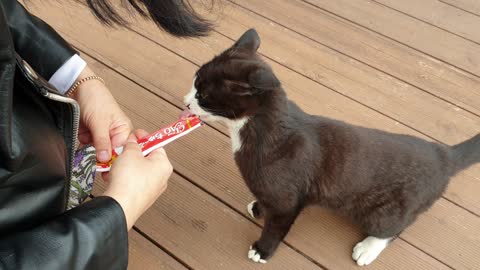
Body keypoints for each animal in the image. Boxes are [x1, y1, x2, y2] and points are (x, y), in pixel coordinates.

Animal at [182, 28, 478, 266]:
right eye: (194, 81)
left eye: (203, 95)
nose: (186, 102)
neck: (253, 131)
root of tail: (443, 154)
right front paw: (258, 207)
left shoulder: (287, 202)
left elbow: (276, 227)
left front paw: (262, 250)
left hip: (388, 210)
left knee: (395, 228)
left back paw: (368, 248)